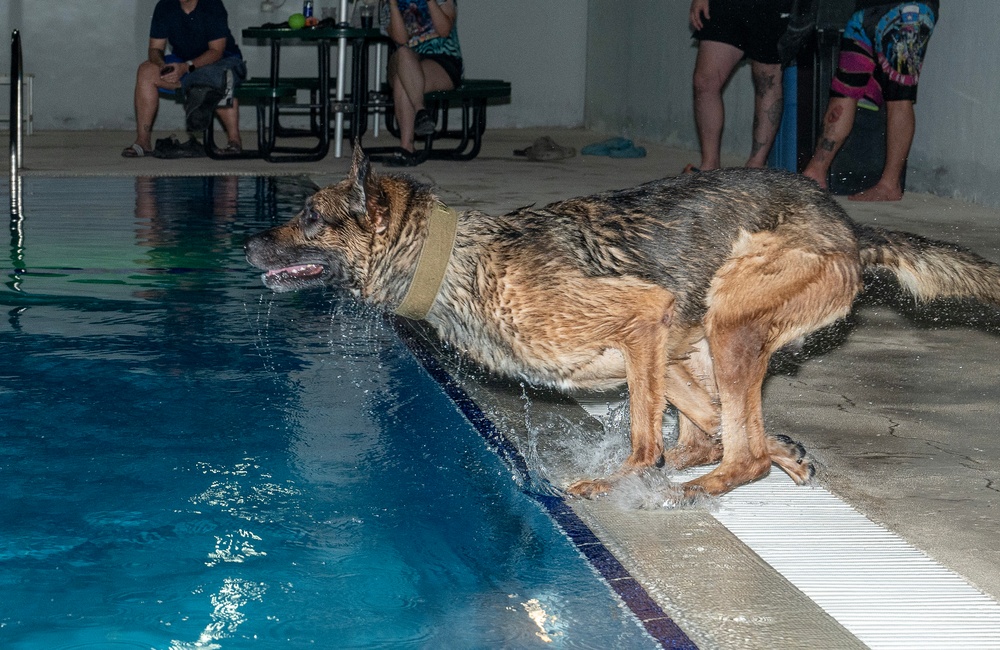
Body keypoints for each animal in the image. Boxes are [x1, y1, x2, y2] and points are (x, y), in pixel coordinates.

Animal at [244, 147, 1000, 498]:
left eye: (309, 216)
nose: (246, 246)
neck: (458, 258)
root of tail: (849, 227)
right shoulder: (656, 346)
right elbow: (709, 426)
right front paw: (792, 450)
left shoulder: (644, 319)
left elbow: (644, 444)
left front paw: (619, 483)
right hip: (701, 340)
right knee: (719, 435)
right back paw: (748, 458)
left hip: (727, 324)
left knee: (733, 453)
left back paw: (696, 489)